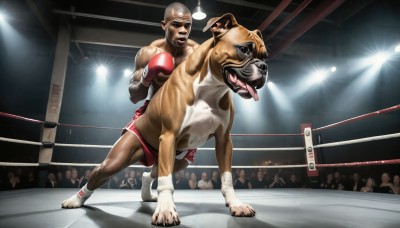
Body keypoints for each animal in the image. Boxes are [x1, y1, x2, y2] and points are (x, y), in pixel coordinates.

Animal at [134, 13, 268, 225]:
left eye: (265, 57)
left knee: (153, 171)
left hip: (179, 157)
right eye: (244, 49)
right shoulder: (169, 136)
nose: (263, 67)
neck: (210, 87)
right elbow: (166, 180)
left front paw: (235, 204)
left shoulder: (224, 140)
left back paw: (146, 192)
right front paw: (165, 209)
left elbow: (227, 177)